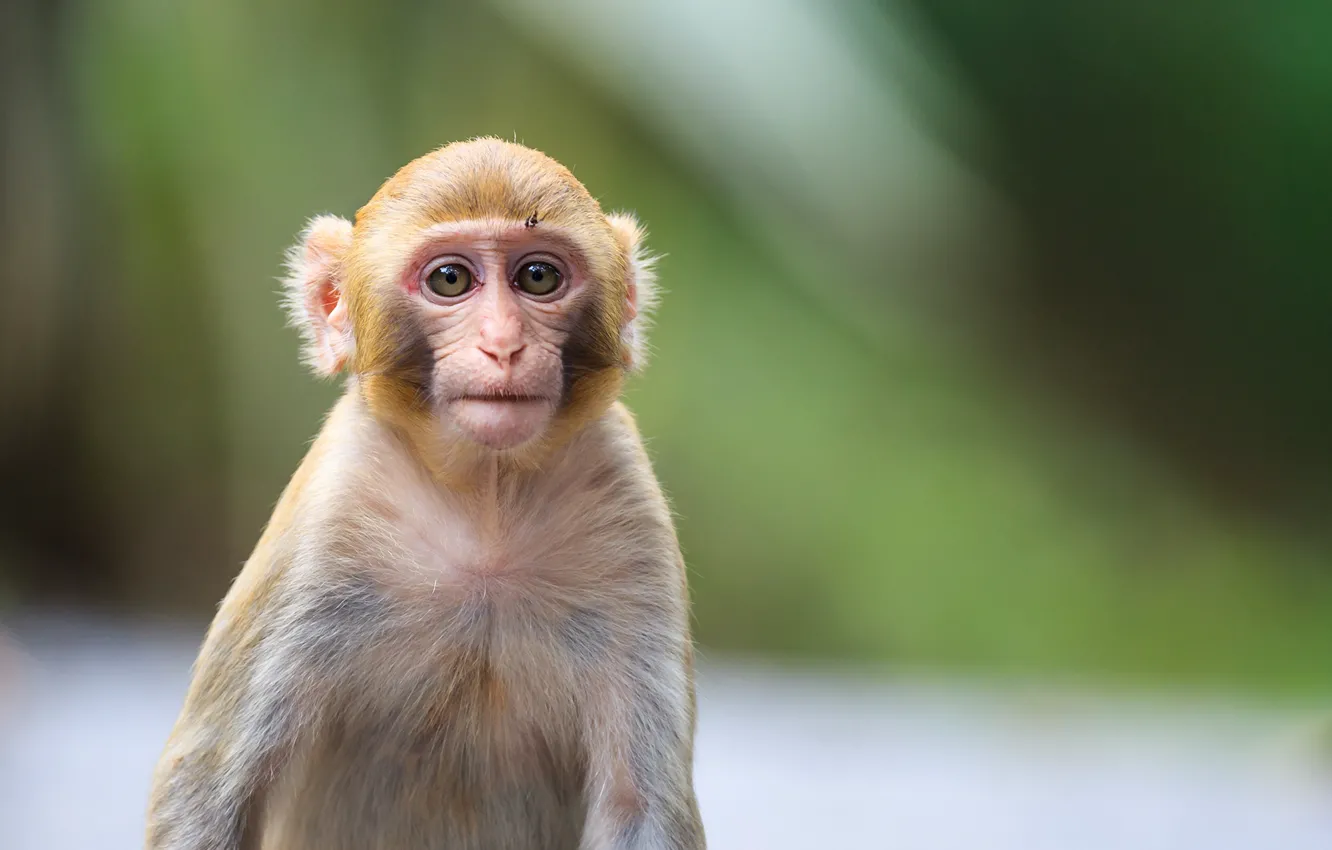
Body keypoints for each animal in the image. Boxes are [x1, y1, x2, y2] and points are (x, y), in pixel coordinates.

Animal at [144, 138, 705, 850]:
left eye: (538, 278)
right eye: (450, 281)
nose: (503, 345)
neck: (486, 501)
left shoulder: (630, 508)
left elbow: (641, 805)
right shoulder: (327, 514)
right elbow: (207, 784)